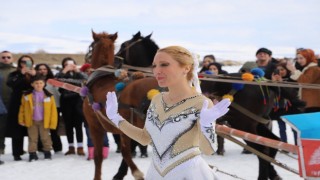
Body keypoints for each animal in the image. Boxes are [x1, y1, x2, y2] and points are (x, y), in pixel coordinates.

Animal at [82, 31, 158, 180]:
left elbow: (100, 157)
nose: (85, 59)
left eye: (91, 46)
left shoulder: (95, 127)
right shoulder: (126, 129)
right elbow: (126, 152)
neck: (101, 79)